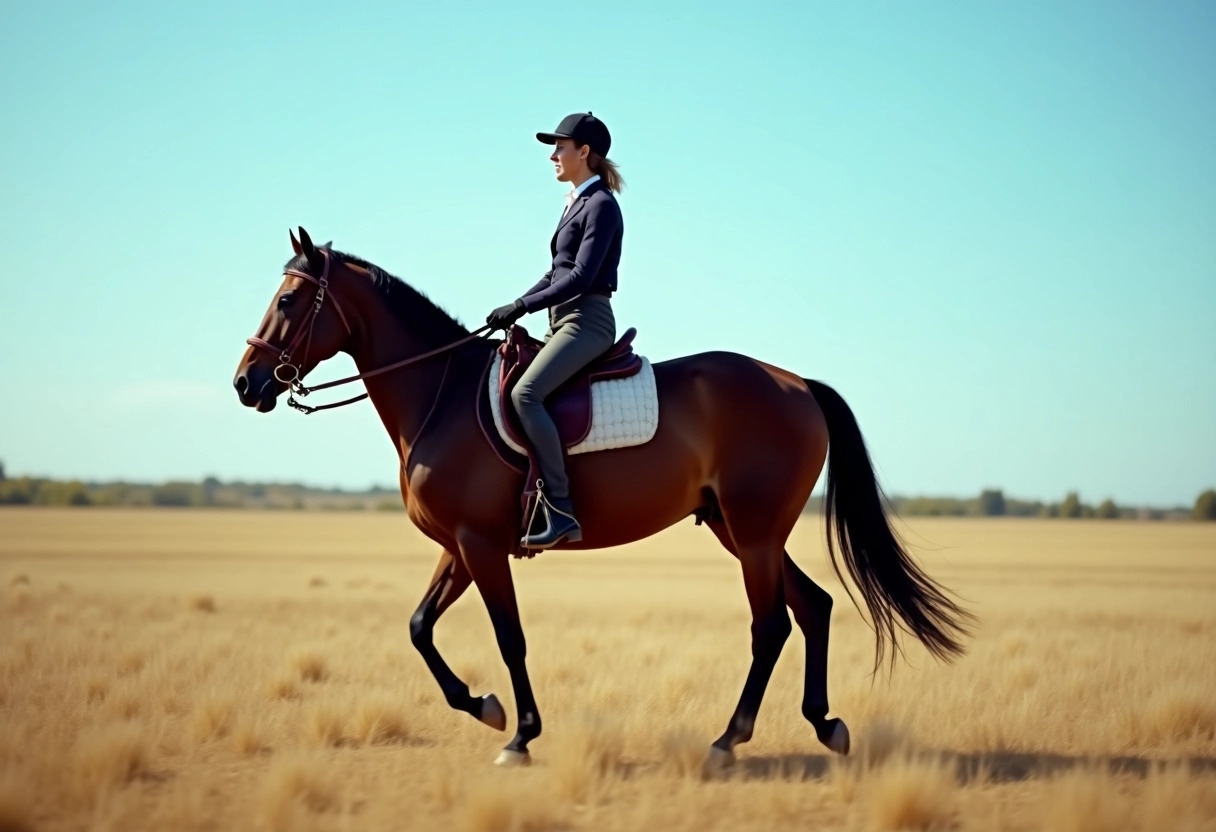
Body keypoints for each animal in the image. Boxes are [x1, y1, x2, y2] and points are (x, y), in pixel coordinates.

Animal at [232, 226, 972, 768]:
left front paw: (519, 734)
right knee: (813, 607)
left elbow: (510, 638)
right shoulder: (461, 545)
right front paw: (485, 707)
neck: (440, 393)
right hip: (735, 529)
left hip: (755, 532)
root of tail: (796, 384)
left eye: (289, 301)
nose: (245, 383)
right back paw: (824, 725)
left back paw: (728, 739)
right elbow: (419, 627)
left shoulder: (480, 545)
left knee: (772, 626)